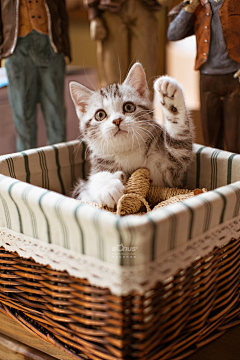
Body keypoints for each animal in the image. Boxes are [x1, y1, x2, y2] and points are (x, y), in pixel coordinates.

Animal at [69, 63, 193, 207]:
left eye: (128, 107)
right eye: (100, 115)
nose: (117, 120)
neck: (127, 151)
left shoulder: (171, 171)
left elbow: (179, 143)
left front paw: (170, 97)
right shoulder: (97, 163)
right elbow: (90, 182)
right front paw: (108, 187)